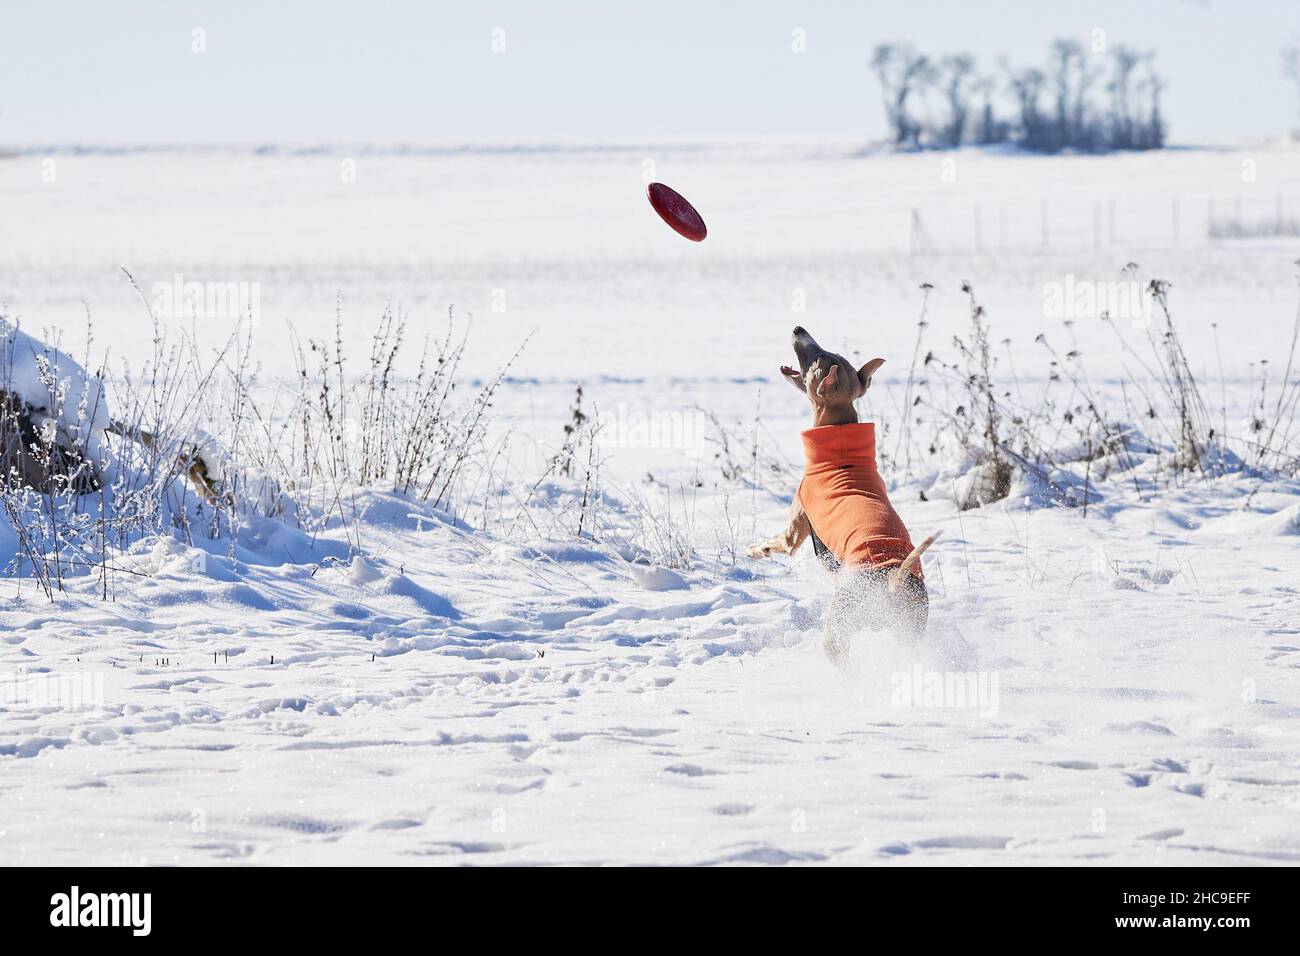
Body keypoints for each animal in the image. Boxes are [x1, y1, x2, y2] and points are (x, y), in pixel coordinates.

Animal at [748, 325, 941, 660]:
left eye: (818, 358)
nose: (798, 328)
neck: (838, 435)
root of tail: (892, 580)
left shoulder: (795, 529)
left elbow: (776, 543)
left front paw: (753, 550)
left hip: (839, 627)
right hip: (909, 632)